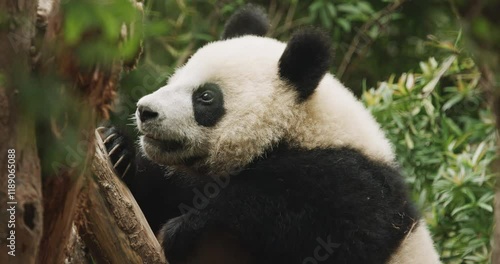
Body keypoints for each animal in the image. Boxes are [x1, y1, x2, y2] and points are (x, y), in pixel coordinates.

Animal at [103, 4, 440, 264]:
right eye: (175, 78)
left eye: (206, 97)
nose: (145, 111)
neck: (296, 130)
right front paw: (117, 147)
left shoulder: (350, 180)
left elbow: (335, 231)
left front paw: (188, 227)